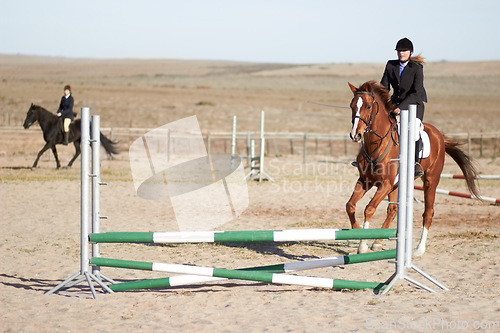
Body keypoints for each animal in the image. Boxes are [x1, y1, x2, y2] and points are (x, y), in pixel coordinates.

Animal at [346, 80, 478, 254]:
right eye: (352, 106)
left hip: (430, 181)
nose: (356, 135)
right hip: (397, 185)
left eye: (368, 106)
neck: (375, 146)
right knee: (393, 210)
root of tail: (439, 135)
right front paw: (358, 229)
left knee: (428, 212)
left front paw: (362, 245)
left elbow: (369, 208)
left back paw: (419, 248)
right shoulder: (365, 181)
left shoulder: (385, 185)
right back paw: (378, 242)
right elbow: (350, 205)